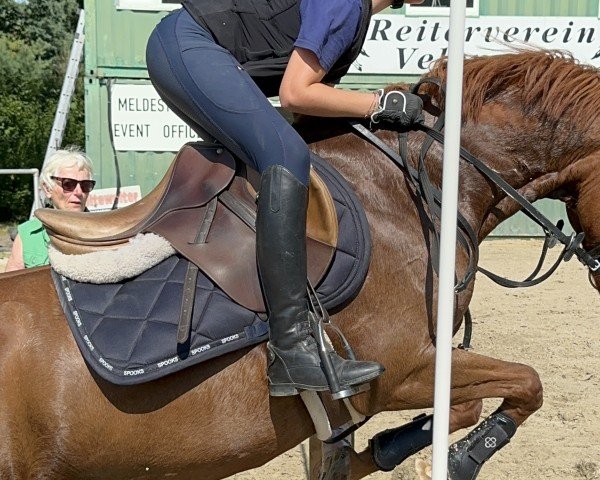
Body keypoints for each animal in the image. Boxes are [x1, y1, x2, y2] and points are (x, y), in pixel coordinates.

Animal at [1, 50, 600, 478]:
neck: (410, 190)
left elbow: (476, 403)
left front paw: (380, 450)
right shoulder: (404, 368)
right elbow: (525, 384)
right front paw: (453, 458)